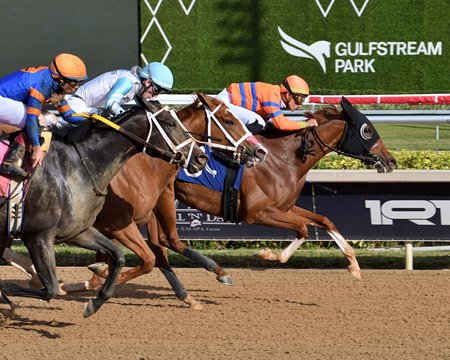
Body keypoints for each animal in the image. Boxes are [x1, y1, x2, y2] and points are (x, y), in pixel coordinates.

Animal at [0, 100, 207, 316]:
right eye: (170, 124)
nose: (201, 158)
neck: (79, 167)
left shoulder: (78, 231)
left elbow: (121, 257)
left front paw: (95, 299)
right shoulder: (39, 236)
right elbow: (50, 289)